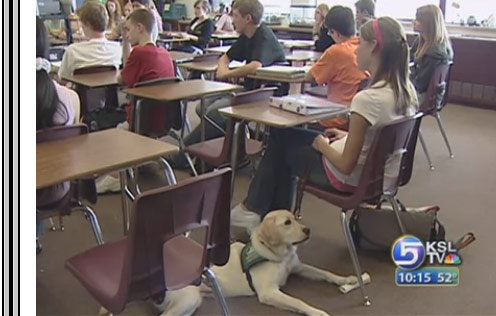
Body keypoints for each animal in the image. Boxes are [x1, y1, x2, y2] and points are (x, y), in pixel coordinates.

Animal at [158, 210, 356, 316]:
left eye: (295, 217)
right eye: (287, 222)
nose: (308, 230)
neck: (278, 255)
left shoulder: (298, 267)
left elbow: (325, 273)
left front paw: (346, 279)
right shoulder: (269, 292)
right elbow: (297, 301)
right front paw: (316, 311)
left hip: (193, 302)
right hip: (188, 298)